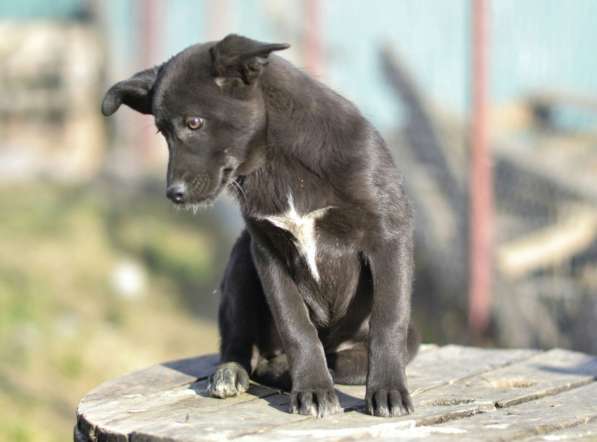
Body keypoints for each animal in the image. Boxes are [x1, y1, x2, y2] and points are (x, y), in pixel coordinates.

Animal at [101, 34, 420, 418]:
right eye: (162, 132)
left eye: (194, 123)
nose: (173, 194)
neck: (278, 161)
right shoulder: (267, 251)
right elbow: (296, 325)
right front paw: (313, 388)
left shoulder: (389, 236)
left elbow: (388, 320)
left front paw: (388, 390)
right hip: (241, 259)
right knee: (237, 342)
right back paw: (233, 371)